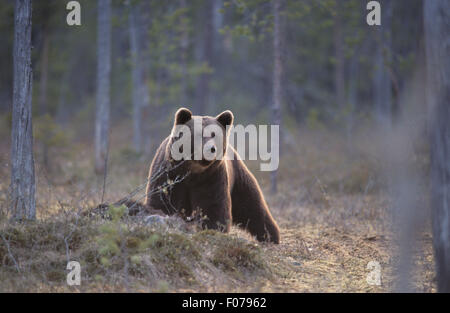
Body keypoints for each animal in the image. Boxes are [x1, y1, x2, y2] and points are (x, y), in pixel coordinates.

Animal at [144, 108, 280, 243]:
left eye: (215, 134)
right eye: (198, 134)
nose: (211, 149)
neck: (192, 172)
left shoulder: (211, 178)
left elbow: (213, 207)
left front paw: (213, 230)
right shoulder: (169, 175)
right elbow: (162, 200)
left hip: (238, 177)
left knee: (253, 207)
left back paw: (271, 236)